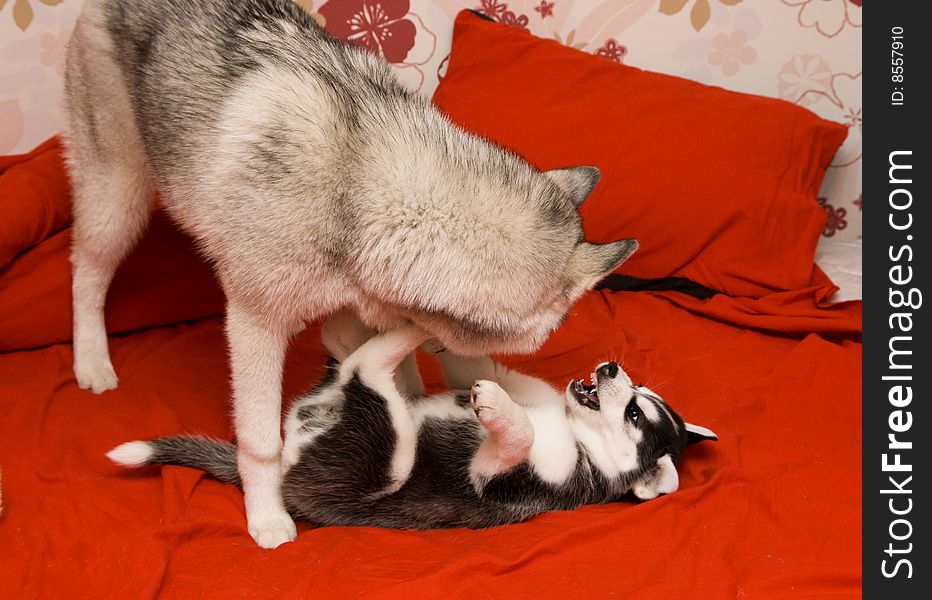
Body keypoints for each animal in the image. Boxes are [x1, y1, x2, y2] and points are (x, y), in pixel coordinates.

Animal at [62, 0, 636, 548]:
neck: (359, 189)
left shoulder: (363, 306)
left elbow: (384, 362)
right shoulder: (253, 323)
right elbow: (261, 440)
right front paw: (267, 514)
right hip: (119, 201)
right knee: (85, 276)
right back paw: (92, 361)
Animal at [111, 314, 720, 528]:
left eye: (636, 411)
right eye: (637, 392)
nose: (610, 367)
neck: (576, 435)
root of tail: (285, 471)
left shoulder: (498, 479)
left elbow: (515, 434)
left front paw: (495, 408)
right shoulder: (532, 390)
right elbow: (485, 366)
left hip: (384, 456)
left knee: (367, 375)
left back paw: (401, 331)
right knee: (355, 367)